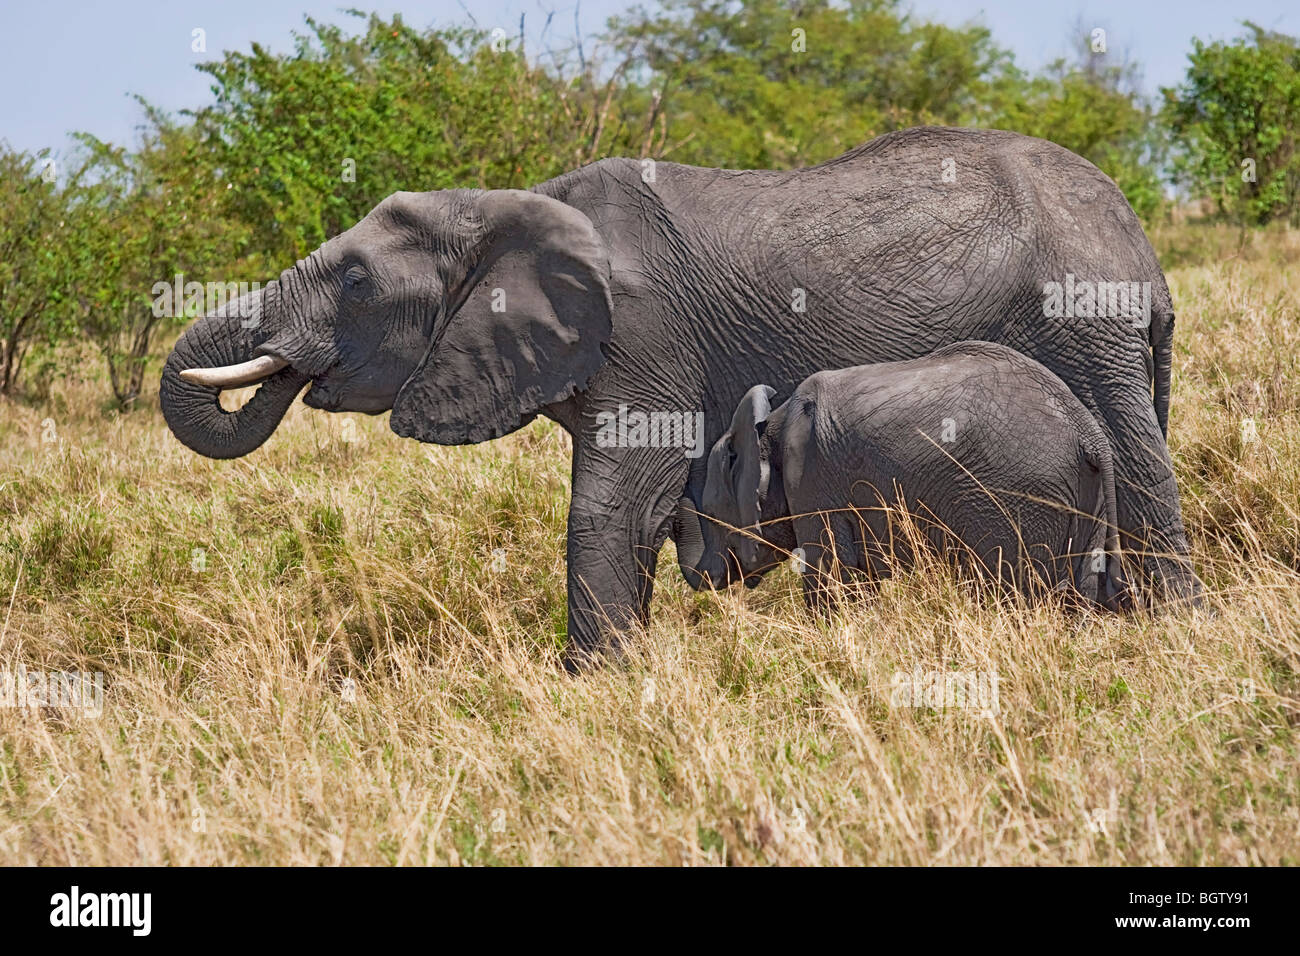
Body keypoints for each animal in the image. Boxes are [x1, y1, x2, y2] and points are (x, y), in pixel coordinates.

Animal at [702, 343, 1128, 613]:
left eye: (711, 513)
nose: (700, 577)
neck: (769, 424)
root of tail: (1088, 432)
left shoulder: (809, 482)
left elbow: (832, 575)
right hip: (1085, 497)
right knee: (1078, 590)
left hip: (1023, 495)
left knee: (1012, 587)